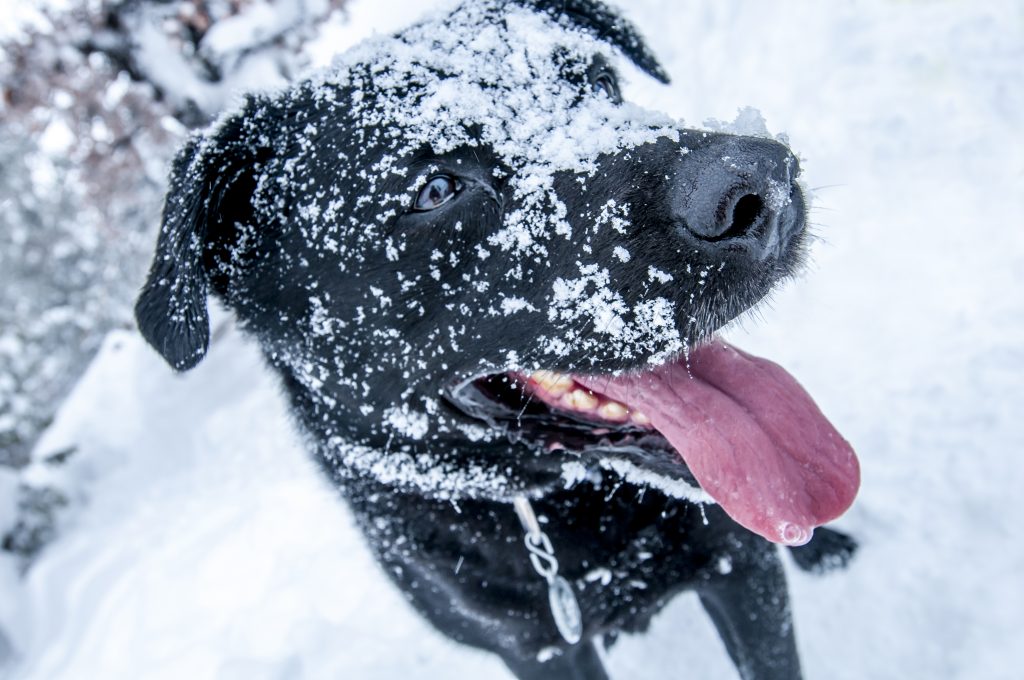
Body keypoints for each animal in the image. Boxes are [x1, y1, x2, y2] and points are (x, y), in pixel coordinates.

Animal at [134, 2, 856, 675]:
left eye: (598, 80)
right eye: (434, 188)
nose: (763, 181)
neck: (563, 514)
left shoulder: (741, 567)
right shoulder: (542, 650)